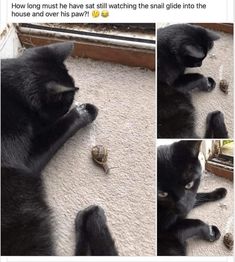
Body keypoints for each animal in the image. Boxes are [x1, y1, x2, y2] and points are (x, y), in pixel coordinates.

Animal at [0, 42, 117, 256]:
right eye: (66, 103)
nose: (73, 104)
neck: (11, 94)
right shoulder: (27, 161)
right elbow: (60, 128)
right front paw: (83, 111)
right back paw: (91, 218)